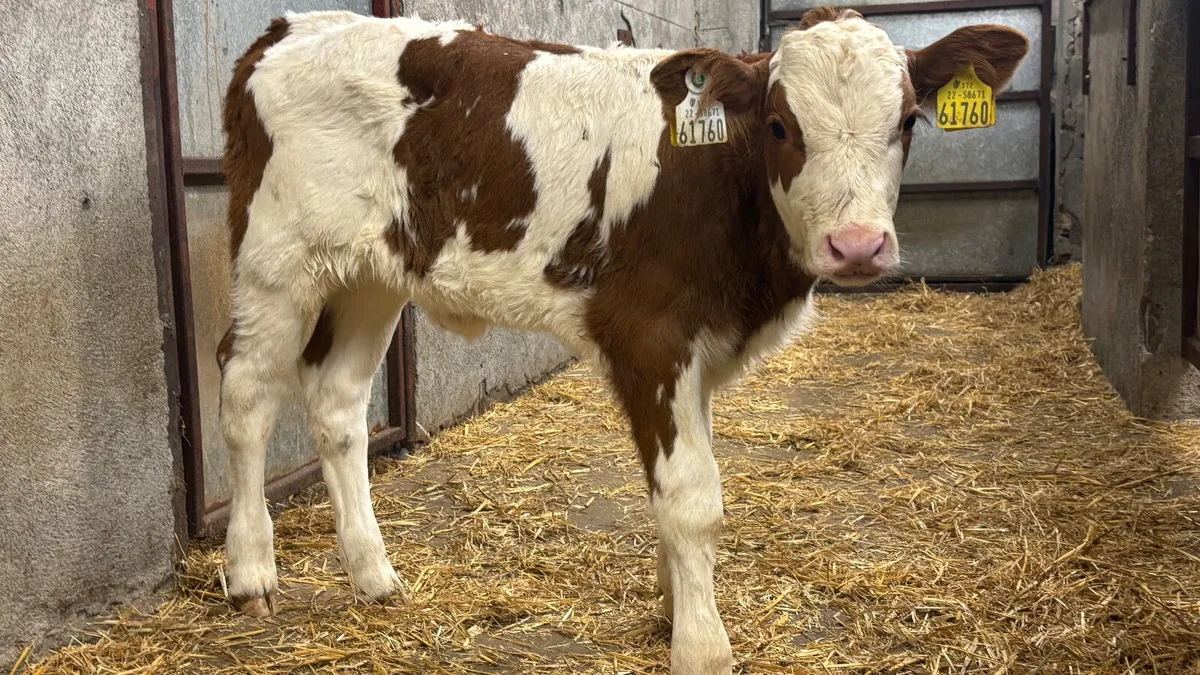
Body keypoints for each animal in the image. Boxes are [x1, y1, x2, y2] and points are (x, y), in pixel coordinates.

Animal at [216, 7, 1028, 673]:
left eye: (909, 121)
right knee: (247, 394)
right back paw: (252, 572)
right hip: (276, 260)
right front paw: (702, 647)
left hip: (372, 273)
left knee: (337, 405)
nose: (856, 246)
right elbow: (693, 496)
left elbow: (678, 490)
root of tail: (291, 26)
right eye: (779, 127)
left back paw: (374, 577)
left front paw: (673, 608)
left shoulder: (700, 352)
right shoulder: (650, 336)